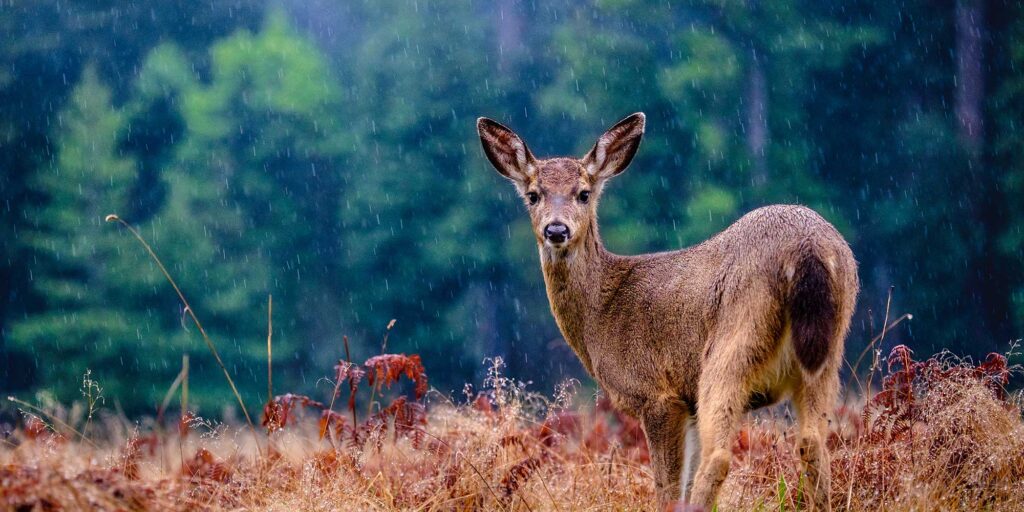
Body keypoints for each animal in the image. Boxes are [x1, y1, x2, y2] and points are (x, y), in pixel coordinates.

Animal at [475, 114, 860, 509]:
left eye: (583, 193)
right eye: (533, 195)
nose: (556, 229)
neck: (601, 314)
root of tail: (807, 248)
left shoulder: (657, 394)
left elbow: (667, 489)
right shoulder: (686, 404)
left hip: (732, 344)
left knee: (720, 455)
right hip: (827, 351)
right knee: (812, 443)